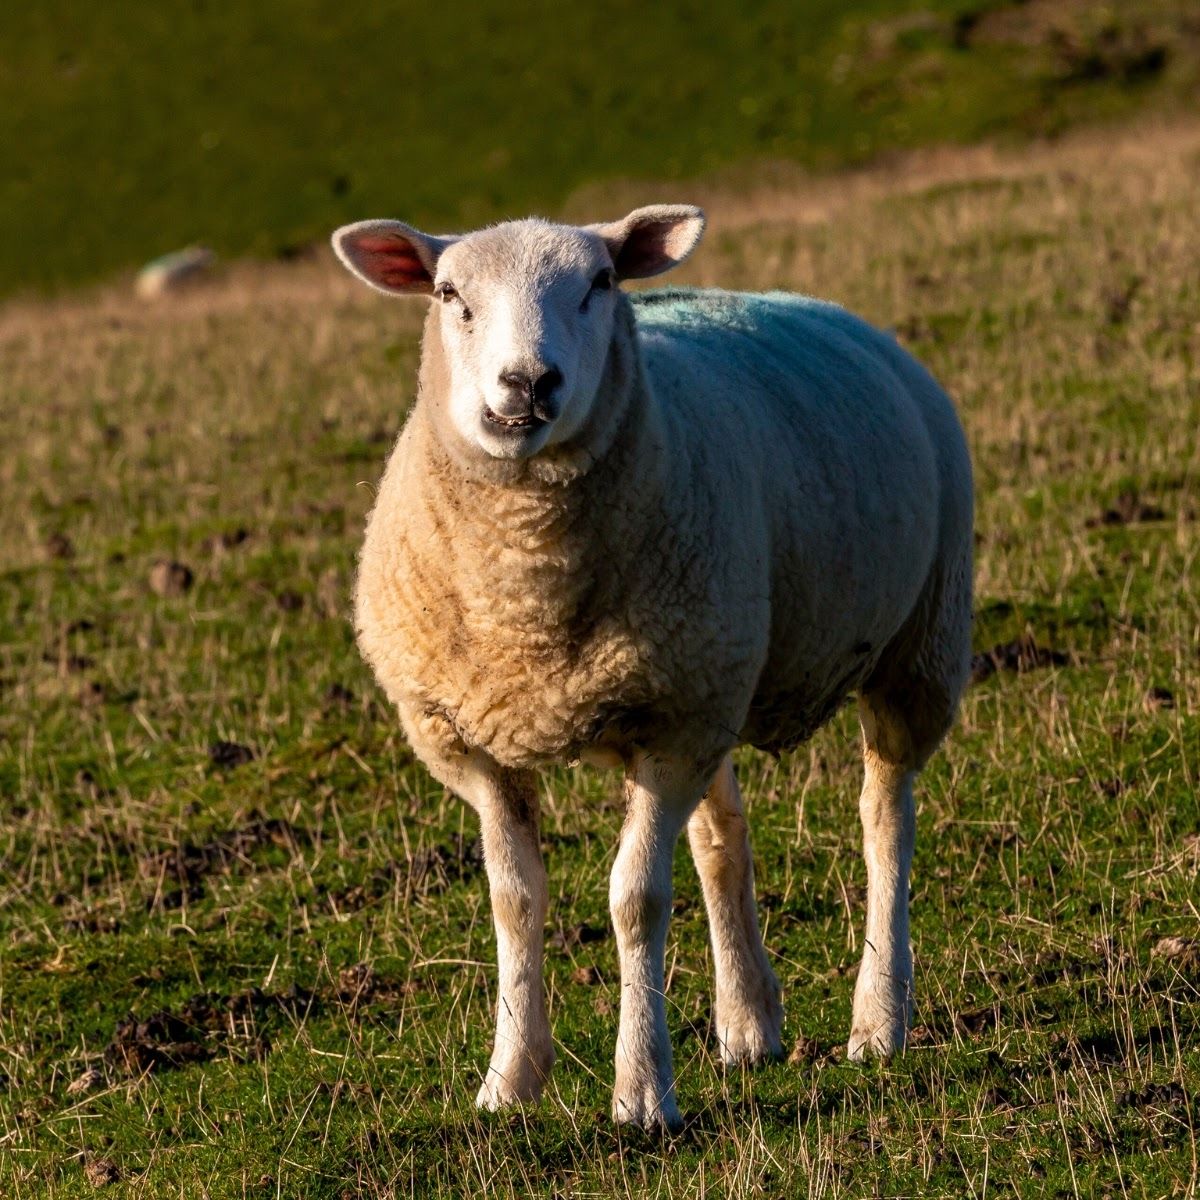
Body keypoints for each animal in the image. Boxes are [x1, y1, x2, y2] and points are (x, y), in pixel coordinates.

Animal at [331, 201, 974, 1128]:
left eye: (600, 283)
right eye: (449, 293)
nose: (529, 384)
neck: (527, 600)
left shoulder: (671, 729)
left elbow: (635, 900)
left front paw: (641, 1092)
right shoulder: (481, 740)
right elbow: (515, 900)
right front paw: (509, 1079)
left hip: (915, 647)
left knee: (885, 822)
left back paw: (878, 1018)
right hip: (715, 674)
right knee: (721, 839)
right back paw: (749, 1023)